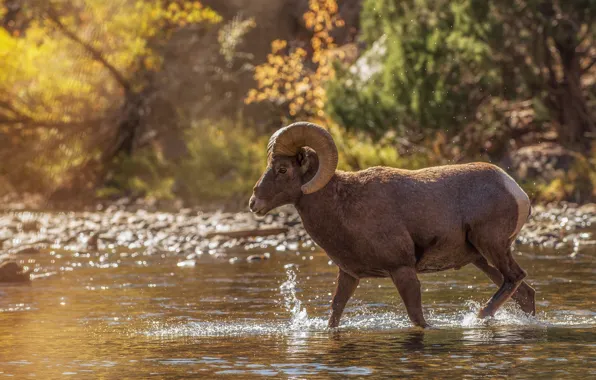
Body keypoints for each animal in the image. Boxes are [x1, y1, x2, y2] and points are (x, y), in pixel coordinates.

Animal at [248, 122, 536, 330]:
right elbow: (335, 314)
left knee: (515, 278)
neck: (343, 206)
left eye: (283, 169)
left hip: (491, 247)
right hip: (481, 259)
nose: (254, 203)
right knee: (525, 293)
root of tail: (516, 190)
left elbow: (418, 319)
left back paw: (477, 317)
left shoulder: (402, 270)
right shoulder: (349, 275)